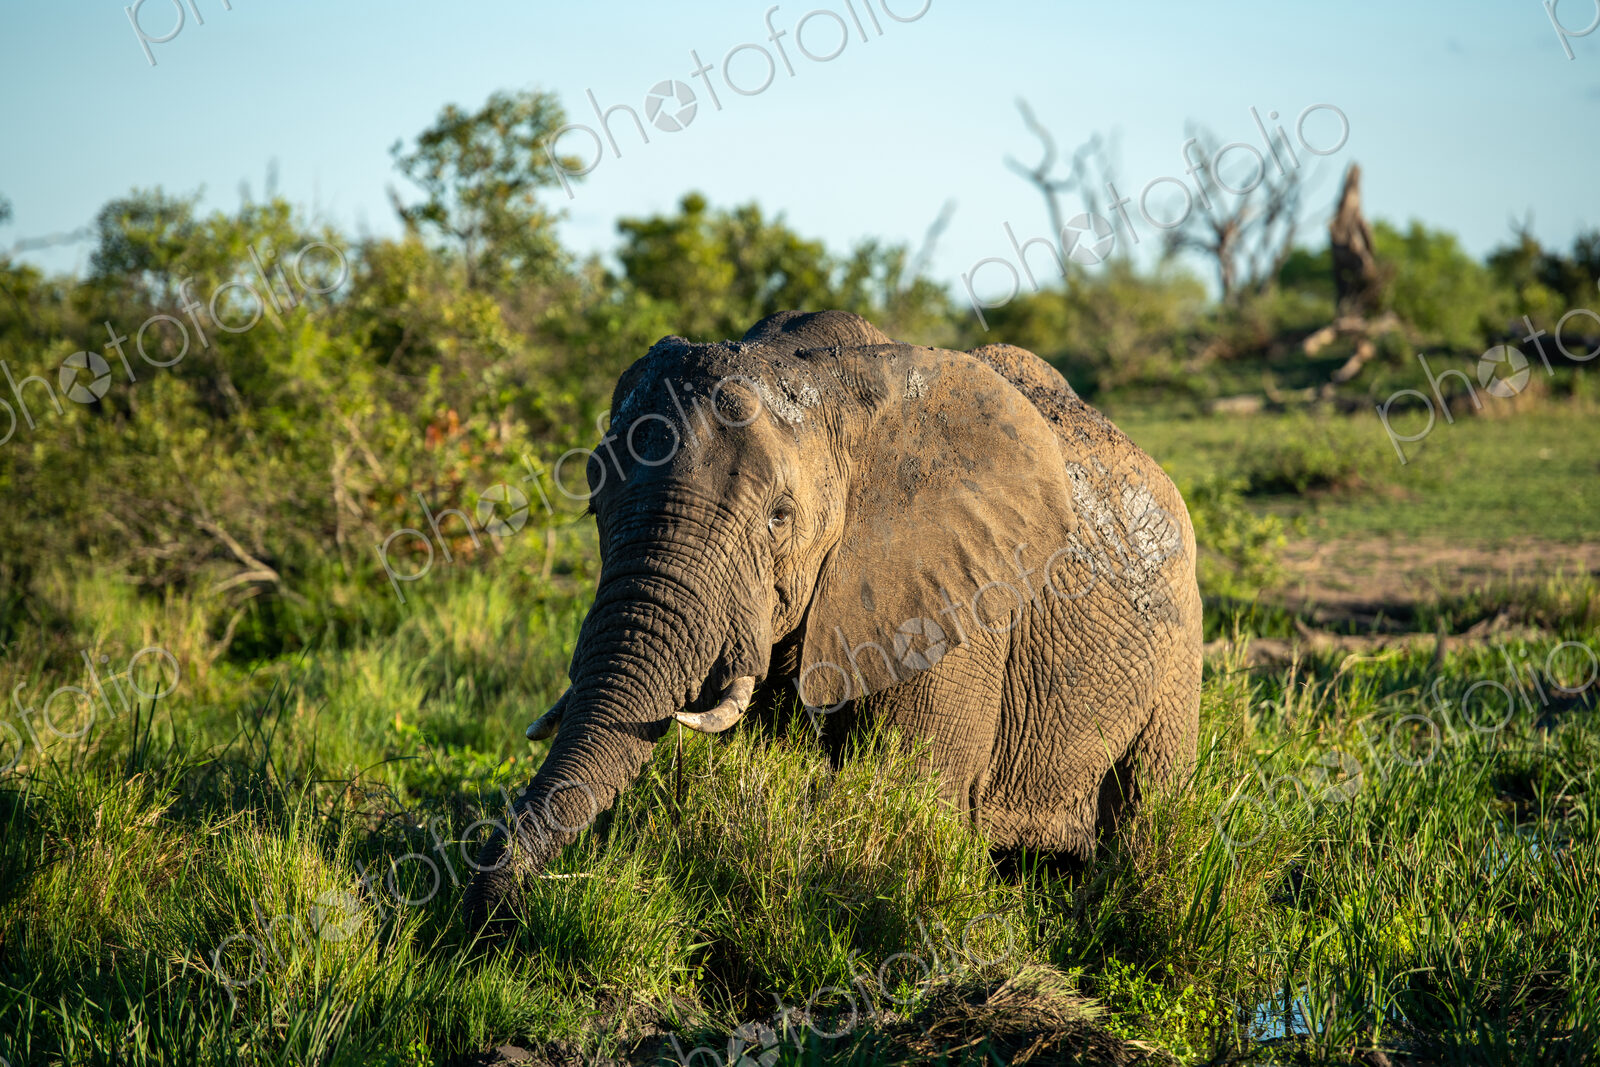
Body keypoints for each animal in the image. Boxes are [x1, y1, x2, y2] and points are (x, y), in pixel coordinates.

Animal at [463, 309, 1201, 931]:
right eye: (594, 504)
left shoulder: (958, 606)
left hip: (1181, 645)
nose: (494, 925)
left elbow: (910, 789)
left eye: (778, 517)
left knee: (1147, 804)